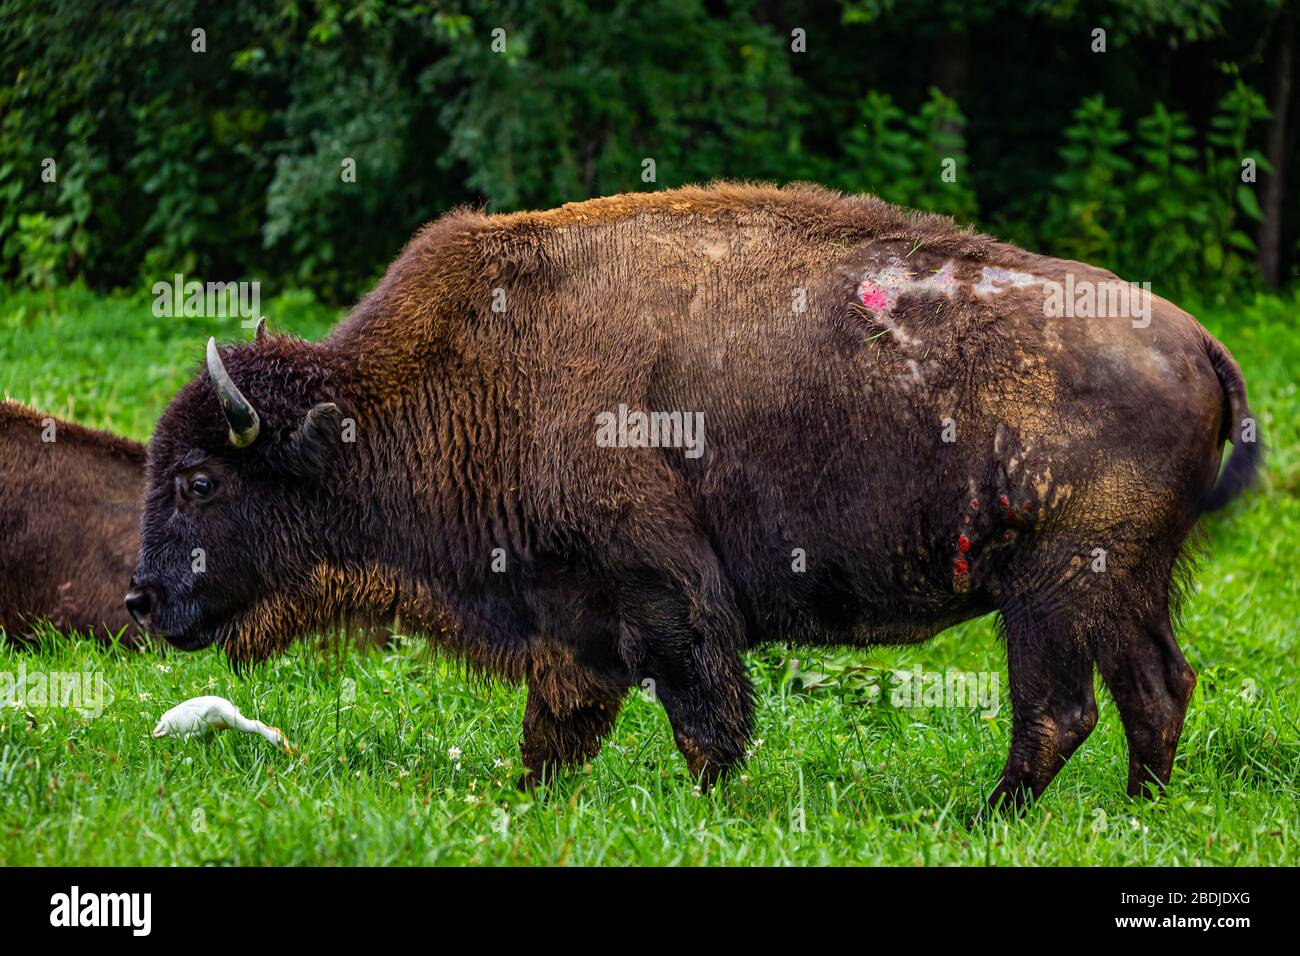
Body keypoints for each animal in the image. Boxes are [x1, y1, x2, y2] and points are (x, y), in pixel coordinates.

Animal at [126, 180, 1253, 806]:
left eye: (196, 478)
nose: (139, 598)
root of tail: (1195, 340)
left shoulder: (661, 593)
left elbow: (703, 715)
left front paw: (710, 807)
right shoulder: (569, 614)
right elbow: (559, 726)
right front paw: (528, 801)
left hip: (1054, 590)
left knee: (1058, 710)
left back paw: (986, 817)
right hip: (1126, 585)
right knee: (1157, 689)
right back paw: (1139, 812)